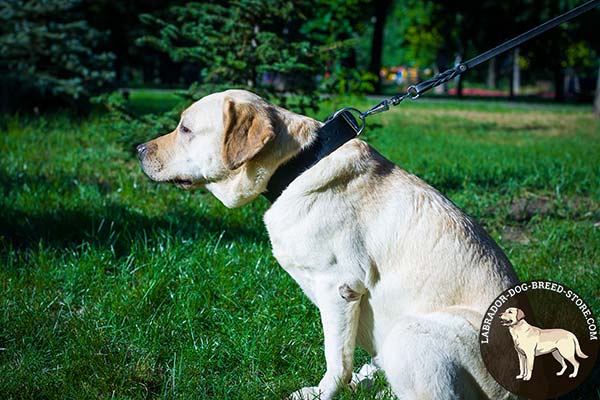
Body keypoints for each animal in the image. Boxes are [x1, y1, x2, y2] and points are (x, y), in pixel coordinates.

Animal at [137, 90, 520, 400]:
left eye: (186, 129)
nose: (138, 149)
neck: (296, 166)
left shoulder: (340, 287)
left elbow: (336, 359)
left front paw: (324, 393)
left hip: (411, 333)